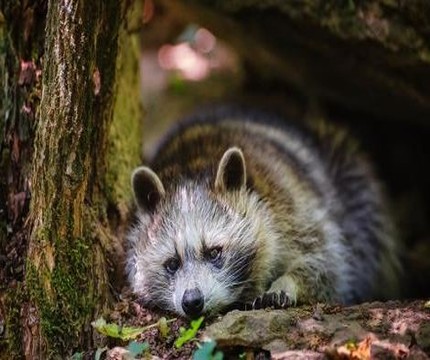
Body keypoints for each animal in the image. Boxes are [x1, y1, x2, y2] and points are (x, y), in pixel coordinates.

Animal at [126, 106, 402, 318]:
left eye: (214, 252)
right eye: (172, 263)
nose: (192, 301)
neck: (192, 167)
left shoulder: (294, 208)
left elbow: (328, 264)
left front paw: (289, 282)